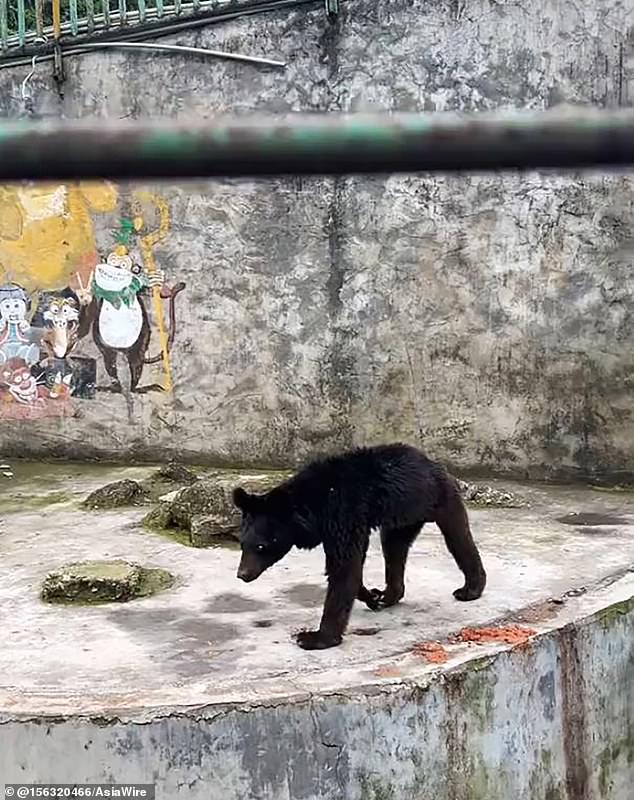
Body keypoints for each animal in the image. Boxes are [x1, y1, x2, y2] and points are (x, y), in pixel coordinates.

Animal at [231, 444, 484, 648]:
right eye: (243, 543)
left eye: (261, 546)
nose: (242, 574)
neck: (312, 509)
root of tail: (433, 463)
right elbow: (350, 567)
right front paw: (370, 596)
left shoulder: (343, 515)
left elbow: (343, 569)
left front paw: (314, 637)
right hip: (401, 518)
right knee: (394, 548)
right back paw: (388, 595)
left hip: (437, 499)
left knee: (458, 537)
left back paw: (470, 589)